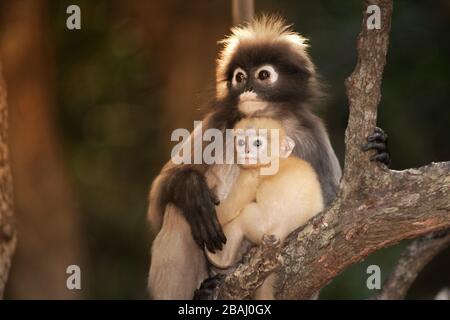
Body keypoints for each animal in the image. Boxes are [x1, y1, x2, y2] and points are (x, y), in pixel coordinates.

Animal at [206, 117, 326, 300]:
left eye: (257, 143)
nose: (246, 150)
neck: (279, 160)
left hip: (258, 225)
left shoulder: (250, 176)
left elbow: (227, 211)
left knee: (242, 217)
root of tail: (281, 234)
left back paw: (221, 259)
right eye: (241, 142)